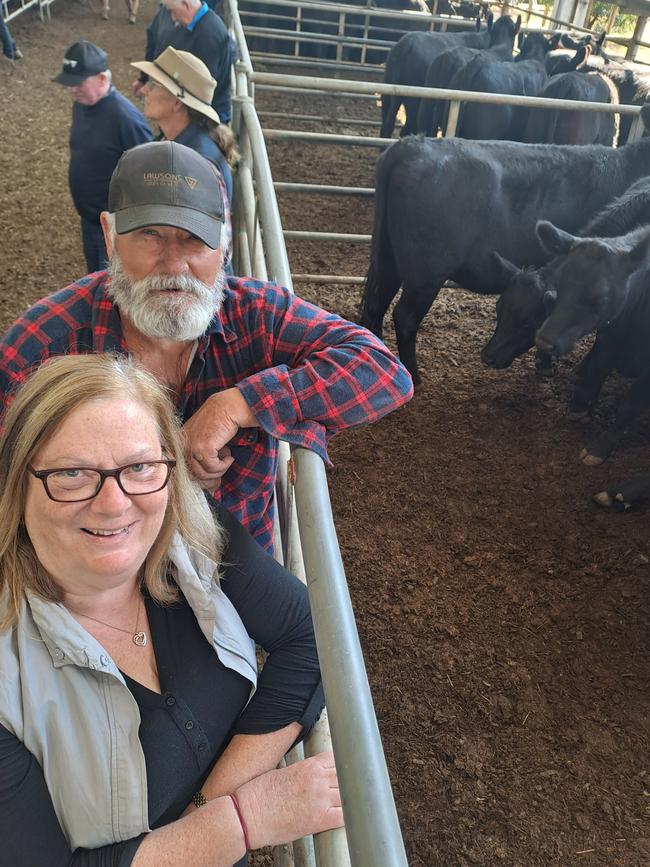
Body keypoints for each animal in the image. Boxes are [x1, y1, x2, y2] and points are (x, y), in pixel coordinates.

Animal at [532, 220, 648, 472]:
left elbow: (629, 407)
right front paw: (580, 407)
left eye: (599, 299)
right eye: (560, 284)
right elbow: (596, 370)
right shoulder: (608, 339)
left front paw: (599, 448)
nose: (544, 341)